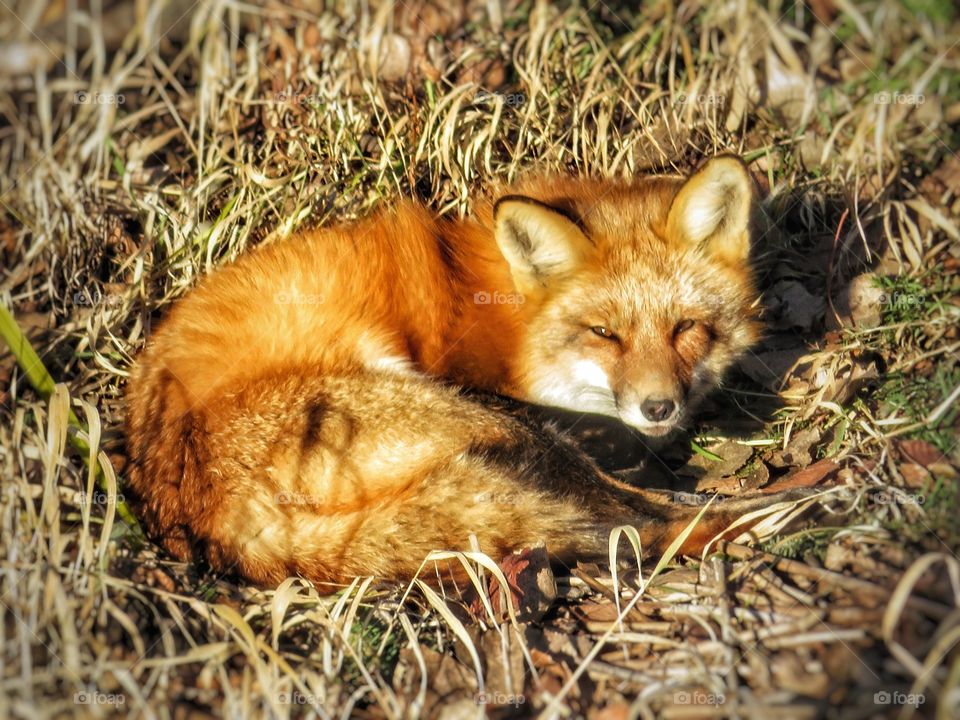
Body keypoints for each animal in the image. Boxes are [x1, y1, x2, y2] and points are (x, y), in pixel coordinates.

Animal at [125, 156, 804, 584]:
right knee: (640, 518)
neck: (508, 318)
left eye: (685, 328)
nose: (658, 407)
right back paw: (784, 506)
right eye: (604, 333)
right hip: (472, 418)